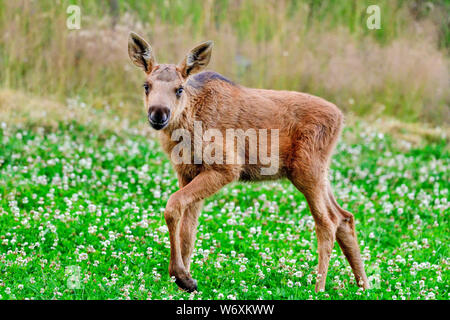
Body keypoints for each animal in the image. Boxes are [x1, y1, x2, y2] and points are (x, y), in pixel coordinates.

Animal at [128, 31, 368, 292]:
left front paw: (181, 276)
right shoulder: (186, 171)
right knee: (345, 216)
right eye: (146, 86)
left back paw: (319, 287)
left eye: (179, 89)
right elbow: (187, 232)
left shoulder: (227, 167)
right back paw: (364, 285)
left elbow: (172, 207)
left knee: (328, 221)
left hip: (307, 170)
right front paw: (186, 279)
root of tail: (341, 117)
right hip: (320, 173)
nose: (158, 113)